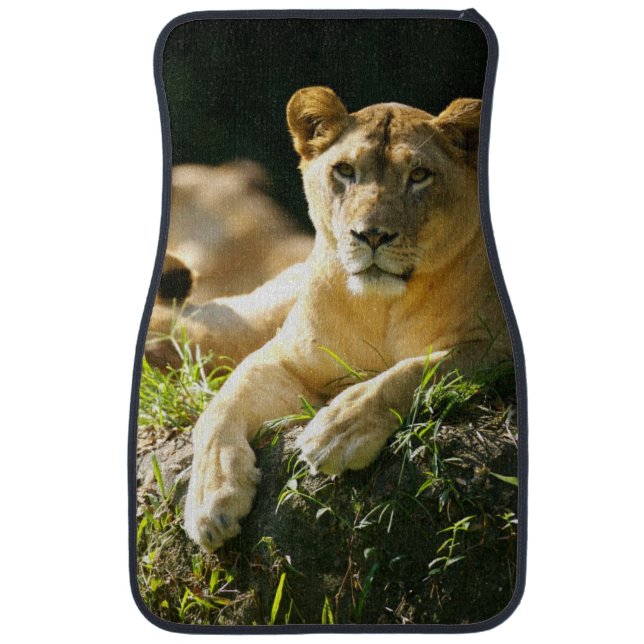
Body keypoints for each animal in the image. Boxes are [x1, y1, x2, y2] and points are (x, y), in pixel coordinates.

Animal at [165, 87, 512, 551]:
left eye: (419, 175)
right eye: (345, 171)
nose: (372, 235)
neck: (380, 308)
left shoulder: (494, 347)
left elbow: (415, 371)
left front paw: (338, 431)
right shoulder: (285, 357)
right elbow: (220, 407)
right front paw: (209, 500)